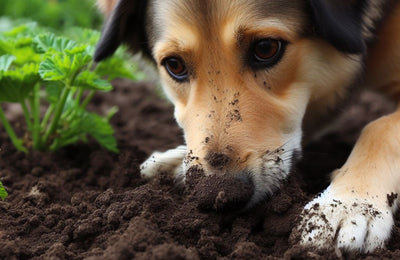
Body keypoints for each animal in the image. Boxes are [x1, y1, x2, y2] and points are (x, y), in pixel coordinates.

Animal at [94, 0, 400, 253]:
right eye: (174, 65)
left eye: (266, 48)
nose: (218, 195)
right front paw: (177, 160)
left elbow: (380, 126)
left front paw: (348, 203)